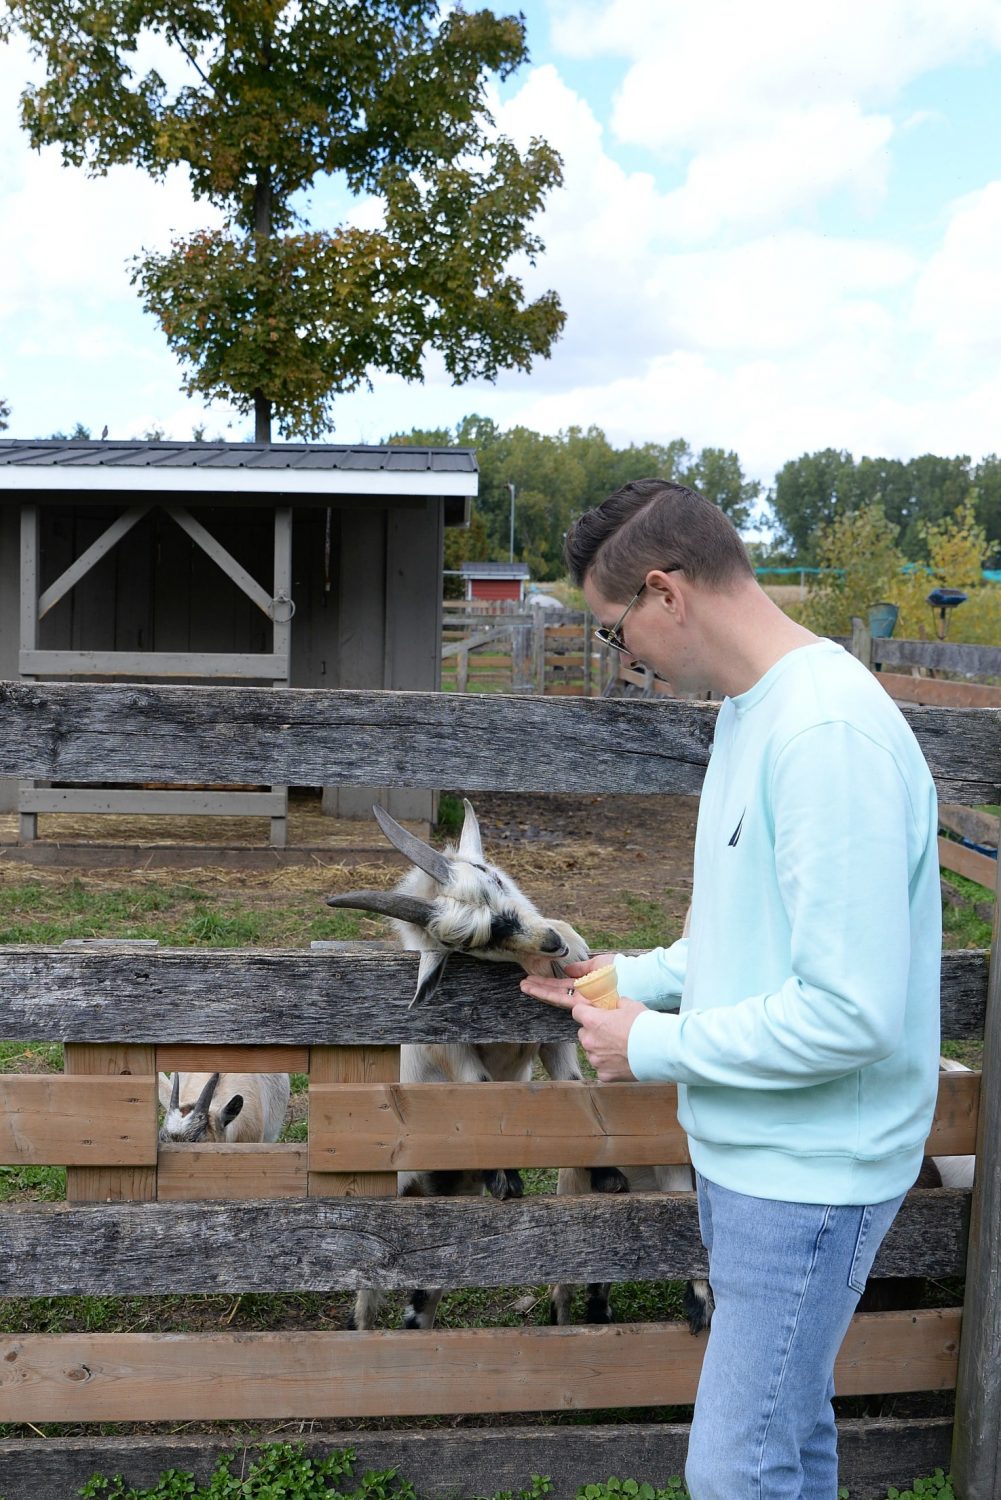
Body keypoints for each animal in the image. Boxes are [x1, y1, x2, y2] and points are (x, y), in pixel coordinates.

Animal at [328, 804, 627, 1332]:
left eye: (495, 879)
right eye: (478, 940)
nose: (552, 944)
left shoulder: (549, 1041)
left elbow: (574, 1087)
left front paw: (607, 1173)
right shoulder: (453, 1049)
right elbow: (480, 1087)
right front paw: (506, 1180)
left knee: (423, 1295)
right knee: (372, 1292)